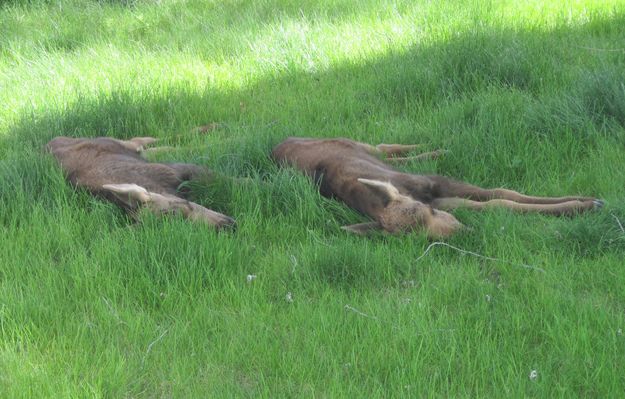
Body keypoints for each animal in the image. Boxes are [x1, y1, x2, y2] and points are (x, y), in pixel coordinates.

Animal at [47, 136, 235, 230]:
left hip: (125, 143)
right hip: (142, 151)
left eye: (176, 211)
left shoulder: (180, 169)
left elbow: (234, 180)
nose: (228, 226)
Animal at [270, 138, 604, 238]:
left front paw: (585, 201)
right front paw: (581, 204)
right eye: (421, 238)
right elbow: (496, 203)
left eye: (426, 212)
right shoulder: (443, 198)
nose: (459, 232)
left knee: (384, 147)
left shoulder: (434, 184)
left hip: (359, 144)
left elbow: (504, 193)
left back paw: (434, 149)